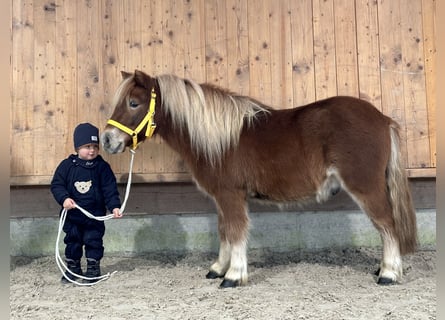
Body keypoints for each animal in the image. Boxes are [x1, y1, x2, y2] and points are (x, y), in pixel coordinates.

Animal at [100, 69, 416, 288]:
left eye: (133, 103)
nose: (107, 140)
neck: (219, 139)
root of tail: (383, 119)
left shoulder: (231, 194)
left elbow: (237, 231)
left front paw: (233, 275)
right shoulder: (221, 198)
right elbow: (224, 231)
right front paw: (218, 268)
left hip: (366, 187)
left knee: (387, 224)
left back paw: (389, 273)